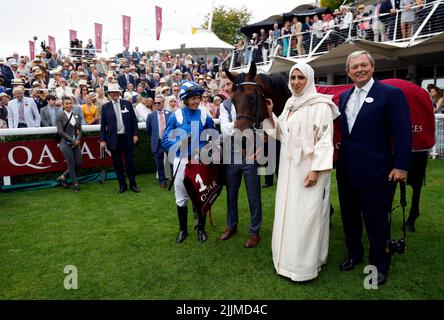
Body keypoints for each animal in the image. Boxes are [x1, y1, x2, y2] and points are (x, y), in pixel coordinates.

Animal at [224, 63, 436, 232]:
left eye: (251, 98)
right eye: (233, 100)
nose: (240, 138)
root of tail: (421, 90)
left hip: (416, 153)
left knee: (416, 184)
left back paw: (410, 220)